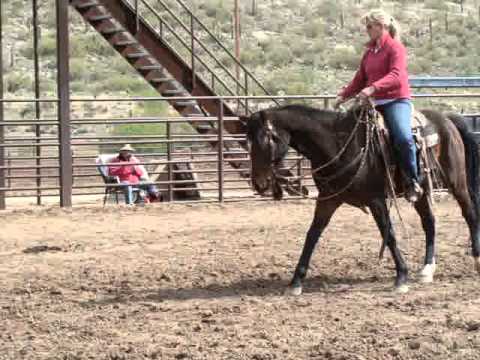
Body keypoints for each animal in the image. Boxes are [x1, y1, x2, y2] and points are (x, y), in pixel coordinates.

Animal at [244, 104, 480, 296]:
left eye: (266, 139)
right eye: (248, 141)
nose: (259, 184)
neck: (338, 145)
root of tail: (447, 119)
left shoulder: (376, 199)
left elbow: (389, 234)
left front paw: (401, 276)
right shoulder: (328, 199)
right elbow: (312, 235)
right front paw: (296, 281)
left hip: (457, 181)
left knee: (469, 214)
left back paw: (476, 259)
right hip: (421, 191)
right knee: (429, 222)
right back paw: (427, 269)